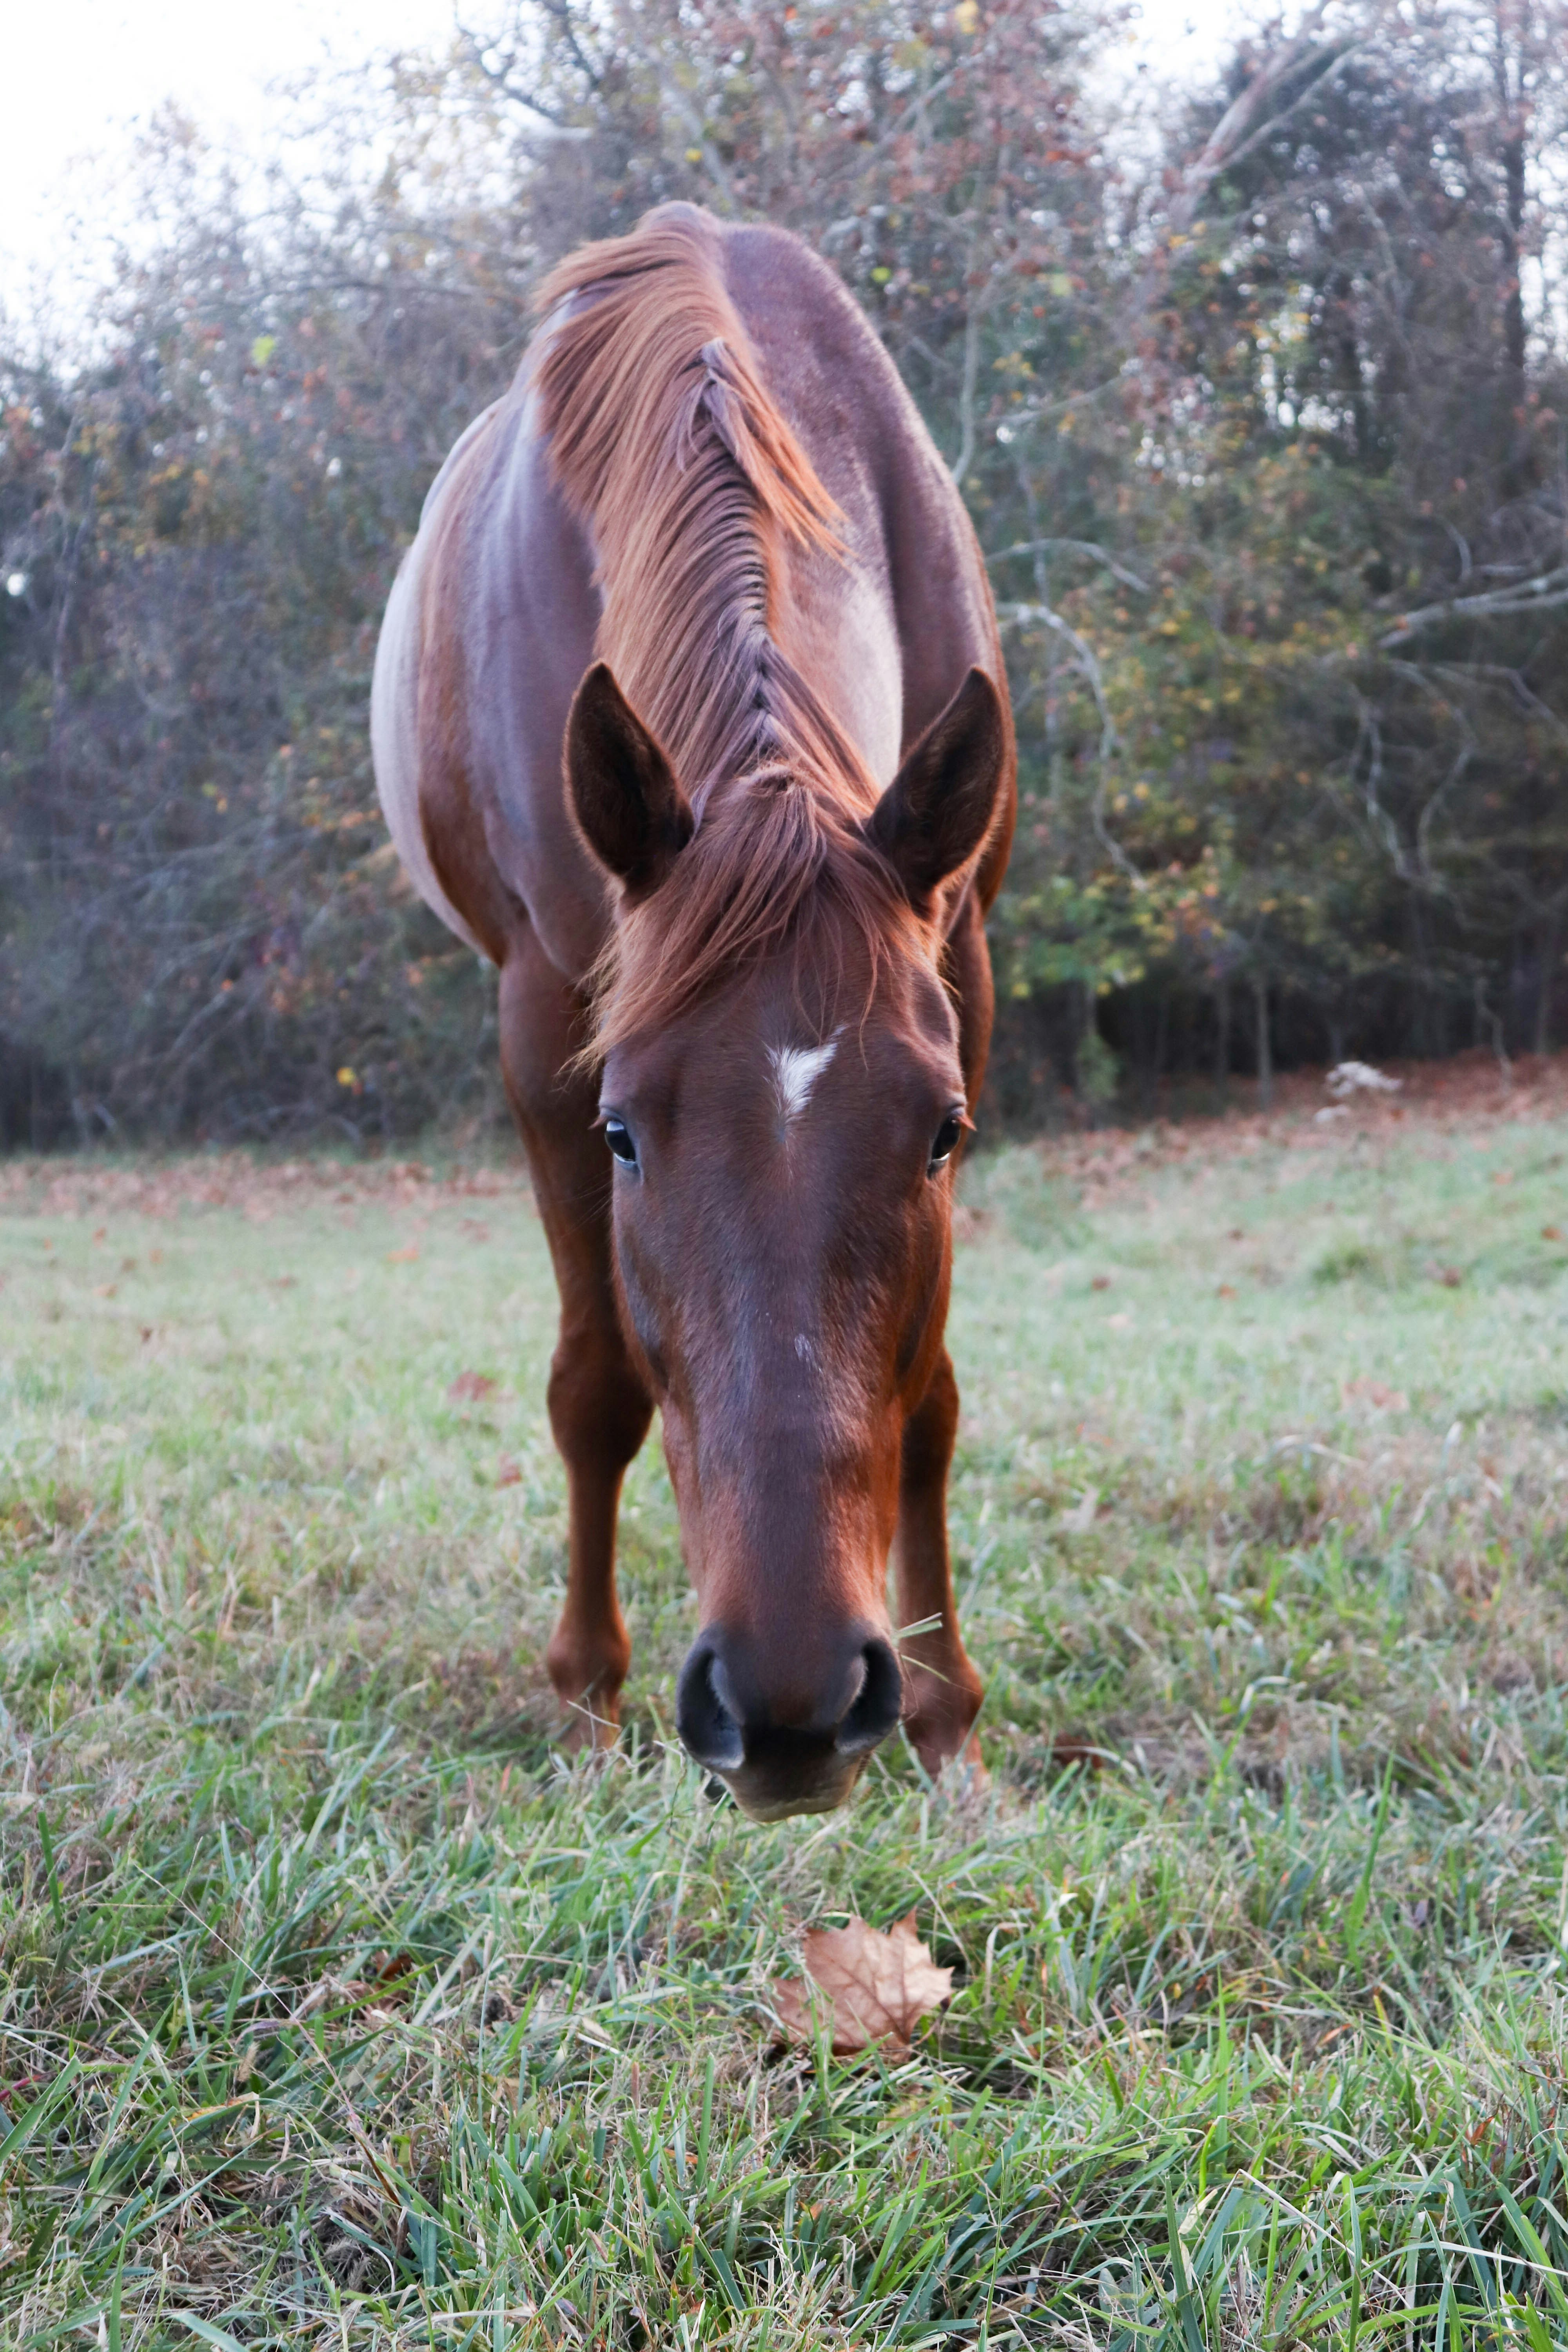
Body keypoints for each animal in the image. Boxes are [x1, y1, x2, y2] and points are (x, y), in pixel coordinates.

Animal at [371, 202, 1015, 1820]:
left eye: (941, 1132)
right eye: (622, 1134)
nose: (791, 1706)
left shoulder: (965, 962)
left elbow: (929, 1391)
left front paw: (949, 1722)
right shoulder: (546, 1024)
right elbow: (598, 1387)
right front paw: (584, 1701)